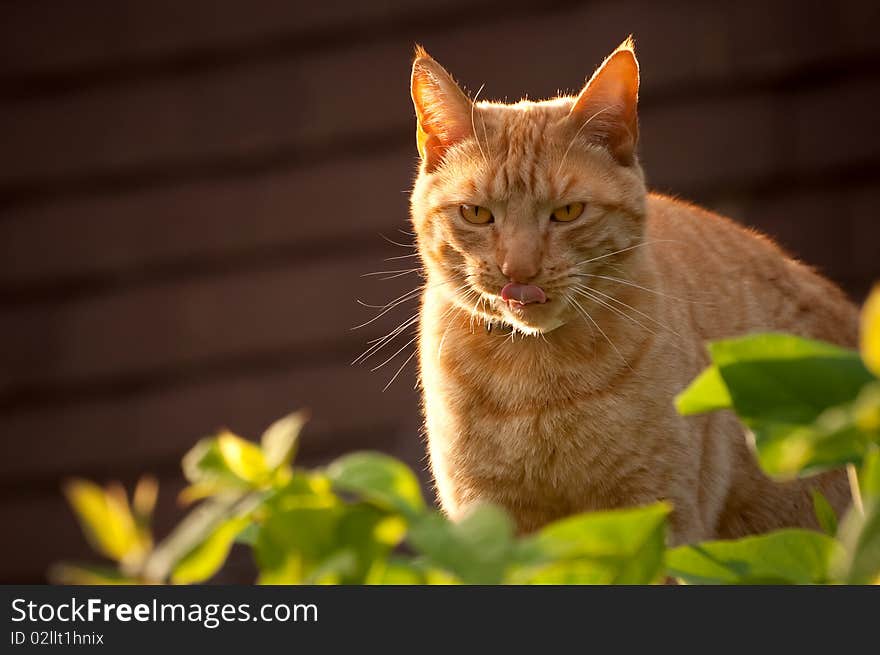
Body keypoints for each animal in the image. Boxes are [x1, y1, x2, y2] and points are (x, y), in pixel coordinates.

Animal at [410, 38, 856, 544]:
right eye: (478, 214)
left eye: (568, 212)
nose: (518, 271)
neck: (536, 383)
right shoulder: (489, 526)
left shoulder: (655, 515)